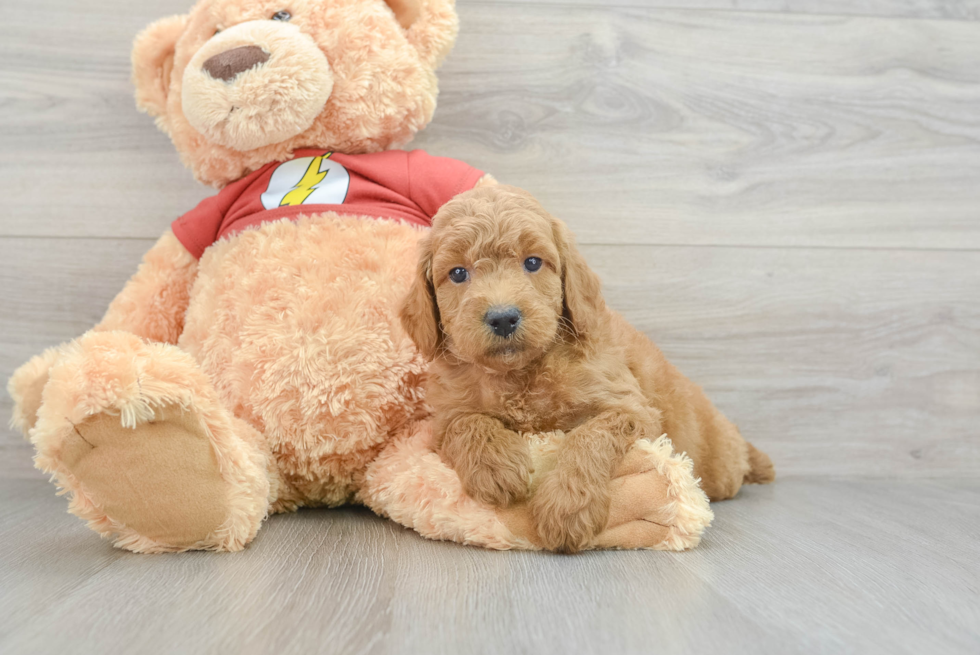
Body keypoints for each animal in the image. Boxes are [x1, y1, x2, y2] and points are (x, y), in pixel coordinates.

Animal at [398, 184, 772, 552]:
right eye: (458, 273)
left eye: (533, 263)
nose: (503, 317)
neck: (521, 373)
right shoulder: (445, 416)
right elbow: (467, 422)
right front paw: (496, 467)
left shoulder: (631, 407)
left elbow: (589, 436)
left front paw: (566, 508)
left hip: (720, 464)